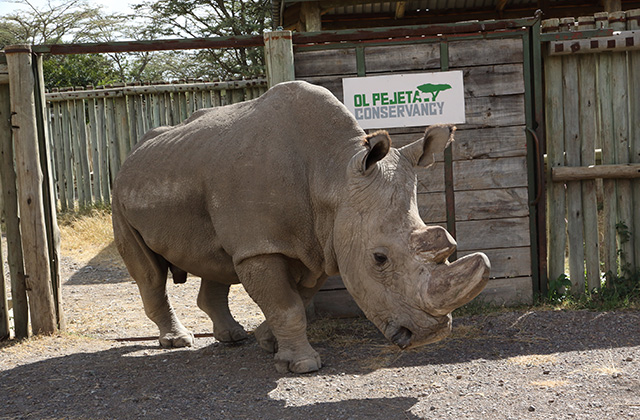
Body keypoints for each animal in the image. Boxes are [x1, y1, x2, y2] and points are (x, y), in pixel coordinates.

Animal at [112, 80, 490, 374]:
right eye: (379, 259)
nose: (430, 336)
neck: (333, 174)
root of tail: (133, 153)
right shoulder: (261, 246)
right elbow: (288, 305)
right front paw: (303, 365)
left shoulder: (322, 243)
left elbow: (297, 298)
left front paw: (268, 343)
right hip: (120, 193)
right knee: (149, 274)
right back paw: (177, 341)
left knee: (215, 260)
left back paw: (234, 337)